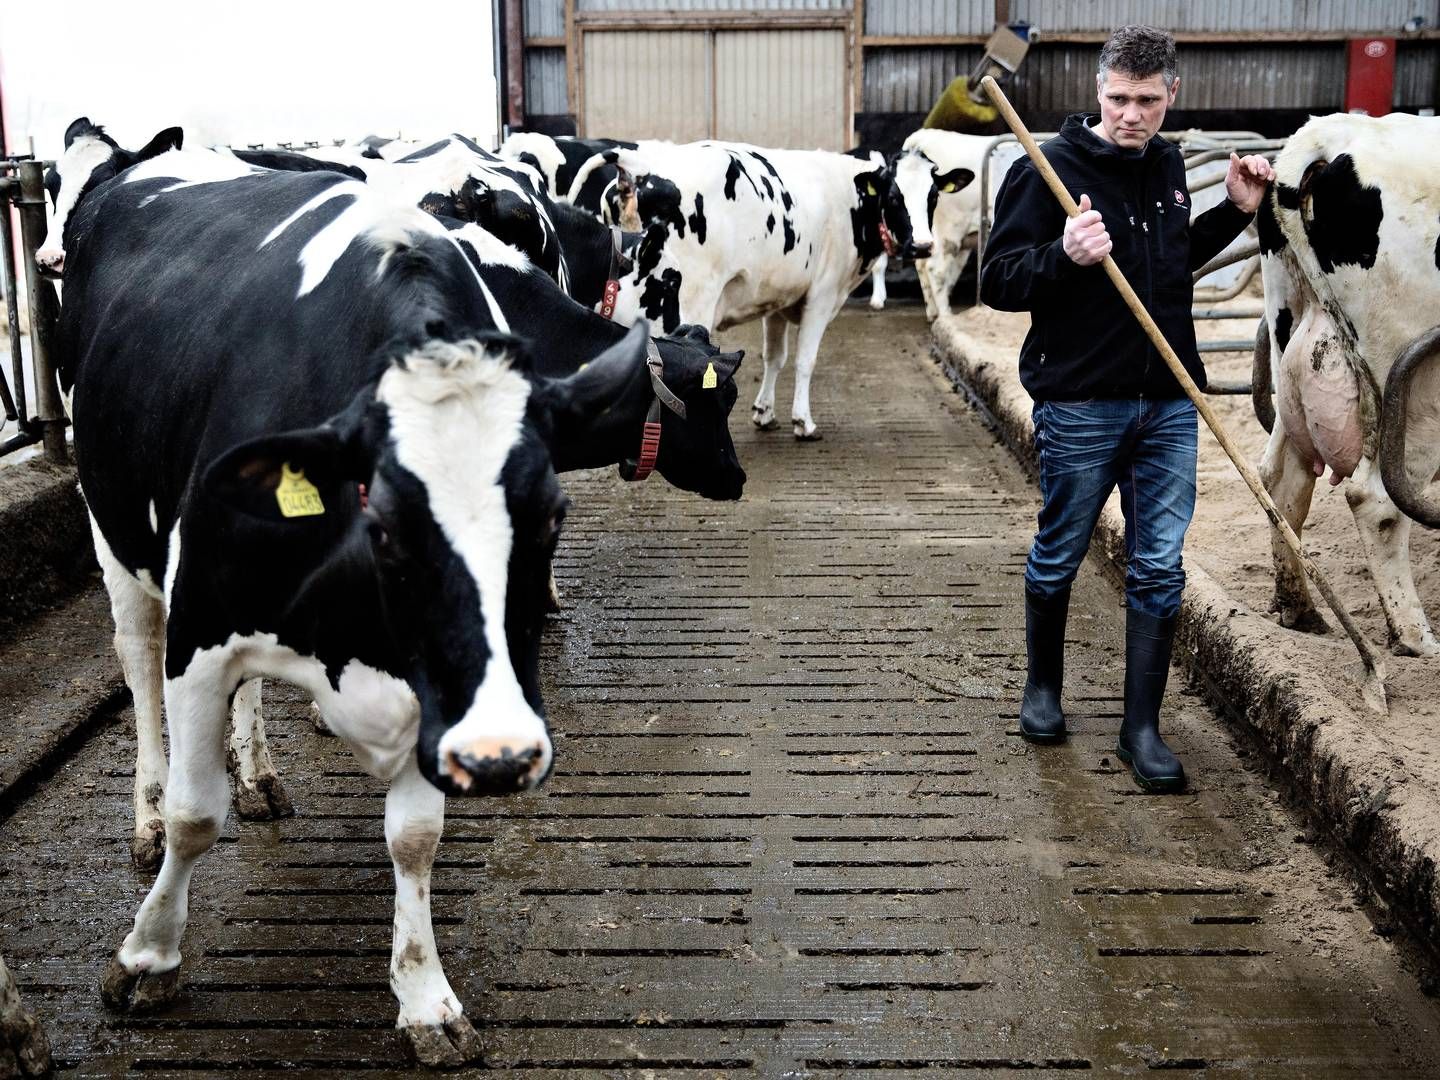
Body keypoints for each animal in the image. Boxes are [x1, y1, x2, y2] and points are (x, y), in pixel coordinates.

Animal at [1249, 110, 1440, 656]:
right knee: (1378, 501)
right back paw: (1416, 639)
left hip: (1289, 332)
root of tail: (1330, 136)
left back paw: (1299, 609)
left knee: (1281, 478)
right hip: (1417, 386)